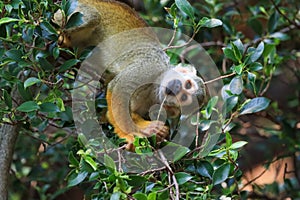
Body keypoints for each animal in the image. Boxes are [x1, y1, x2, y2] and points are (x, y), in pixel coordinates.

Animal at [55, 0, 206, 149]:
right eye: (187, 84)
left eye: (184, 97)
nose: (175, 88)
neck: (153, 90)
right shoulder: (148, 69)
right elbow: (119, 90)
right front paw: (130, 135)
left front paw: (154, 130)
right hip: (73, 11)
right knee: (92, 17)